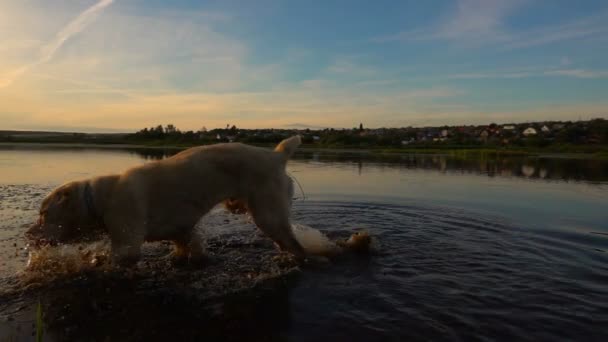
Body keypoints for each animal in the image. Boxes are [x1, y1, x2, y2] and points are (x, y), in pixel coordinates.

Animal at [26, 136, 306, 264]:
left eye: (43, 214)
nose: (28, 235)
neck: (100, 199)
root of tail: (277, 155)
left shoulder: (127, 244)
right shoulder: (181, 231)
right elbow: (188, 246)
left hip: (268, 214)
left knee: (294, 243)